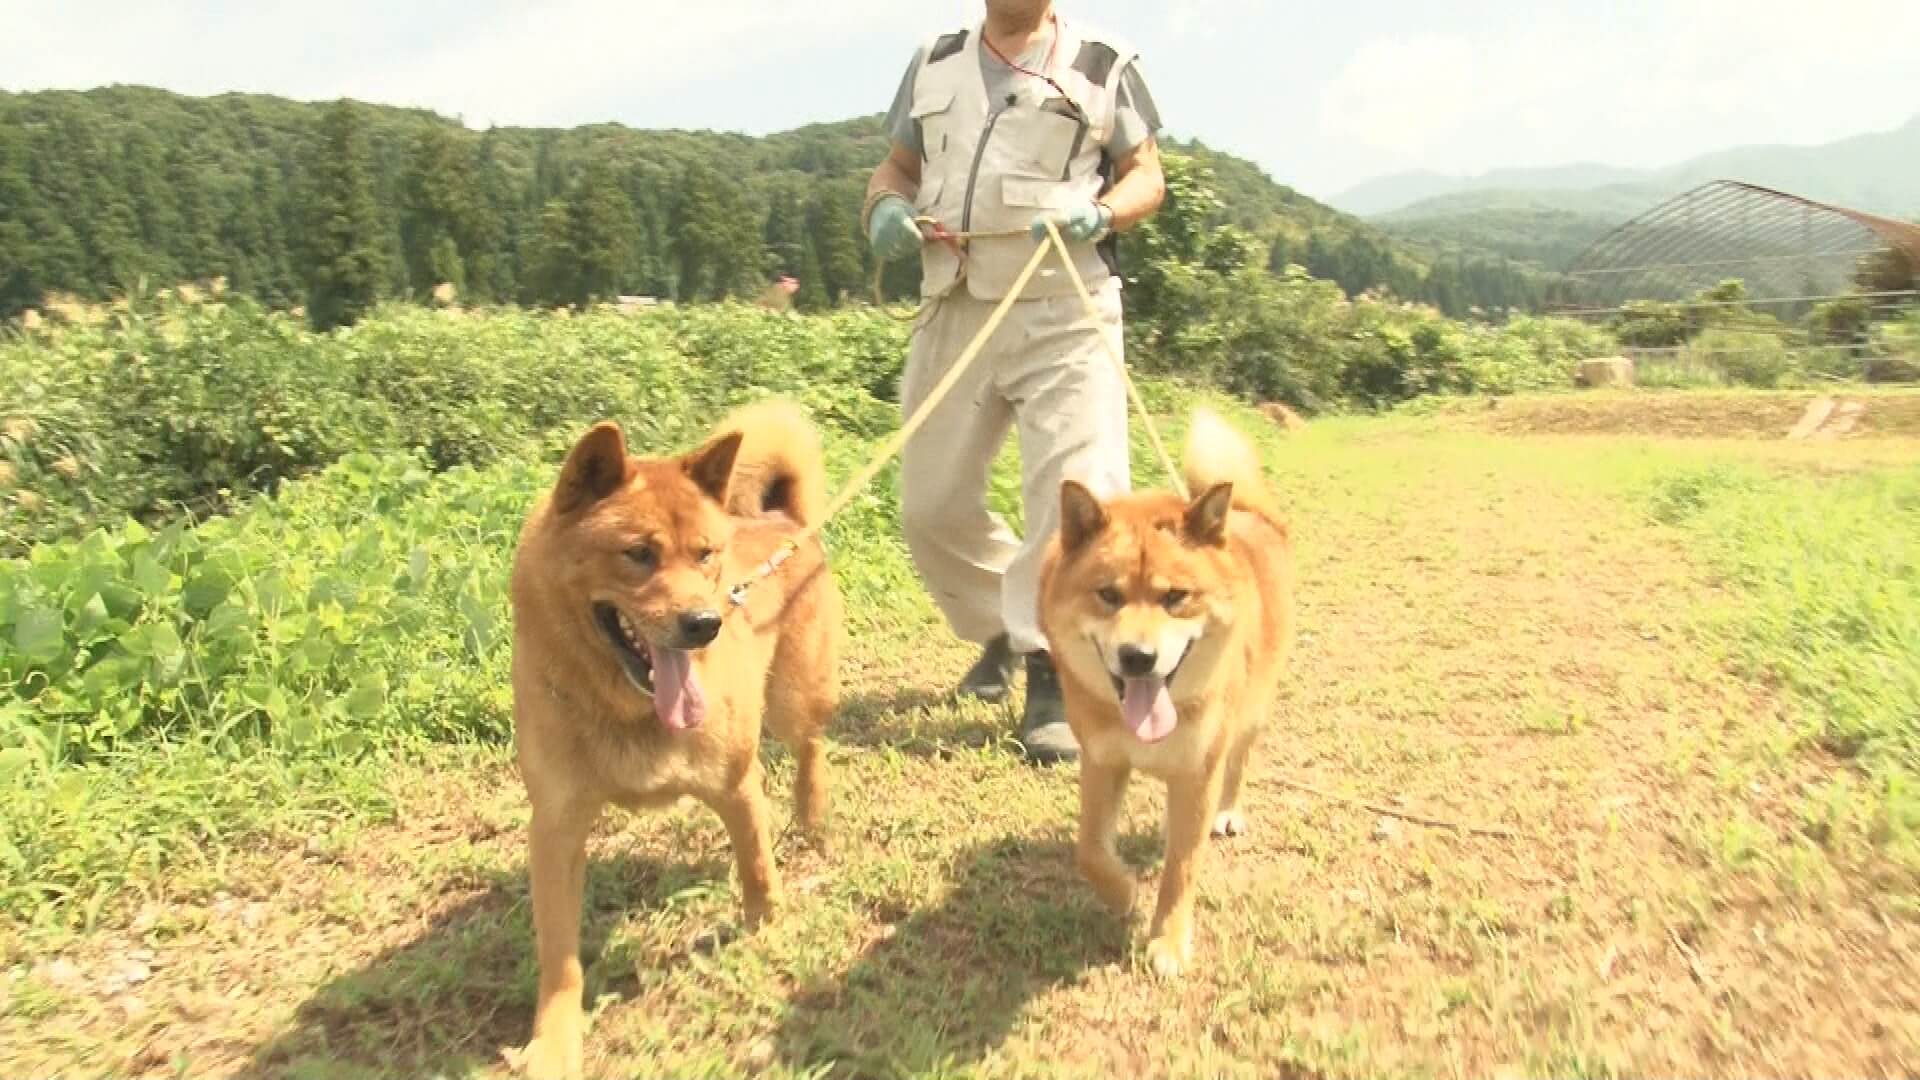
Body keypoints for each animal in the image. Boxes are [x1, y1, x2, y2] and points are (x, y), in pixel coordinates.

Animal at [510, 399, 840, 1068]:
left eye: (706, 554)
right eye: (638, 553)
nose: (706, 623)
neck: (627, 709)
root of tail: (782, 519)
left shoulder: (737, 786)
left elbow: (758, 870)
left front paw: (768, 930)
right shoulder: (555, 827)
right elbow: (559, 958)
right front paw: (554, 1043)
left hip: (793, 699)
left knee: (811, 745)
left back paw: (812, 813)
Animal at [1044, 405, 1297, 976]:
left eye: (1176, 597)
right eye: (1108, 594)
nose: (1138, 657)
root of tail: (1248, 513)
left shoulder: (1197, 774)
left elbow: (1182, 867)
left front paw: (1167, 941)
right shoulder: (1101, 761)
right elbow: (1089, 850)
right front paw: (1122, 893)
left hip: (1251, 715)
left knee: (1239, 764)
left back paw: (1228, 812)